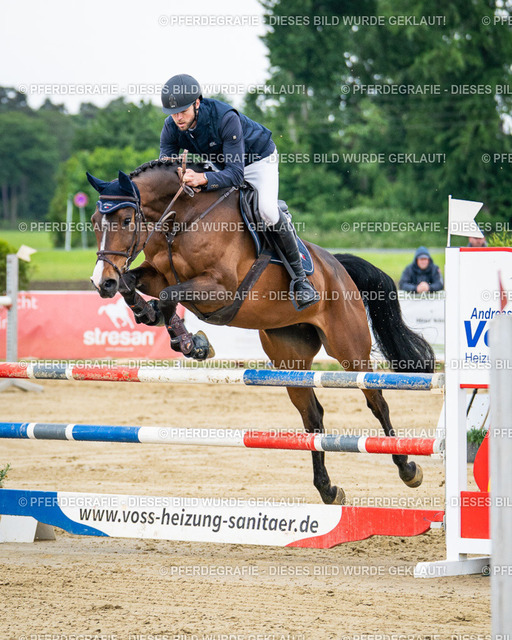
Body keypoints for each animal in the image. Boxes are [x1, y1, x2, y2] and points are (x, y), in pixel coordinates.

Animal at [88, 157, 435, 505]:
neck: (181, 220)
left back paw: (407, 468)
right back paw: (328, 488)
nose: (101, 283)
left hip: (349, 349)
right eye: (94, 221)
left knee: (376, 400)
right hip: (289, 357)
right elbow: (133, 283)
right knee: (312, 416)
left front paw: (187, 339)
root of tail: (337, 266)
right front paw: (163, 324)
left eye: (127, 219)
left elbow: (169, 294)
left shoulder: (220, 287)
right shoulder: (157, 274)